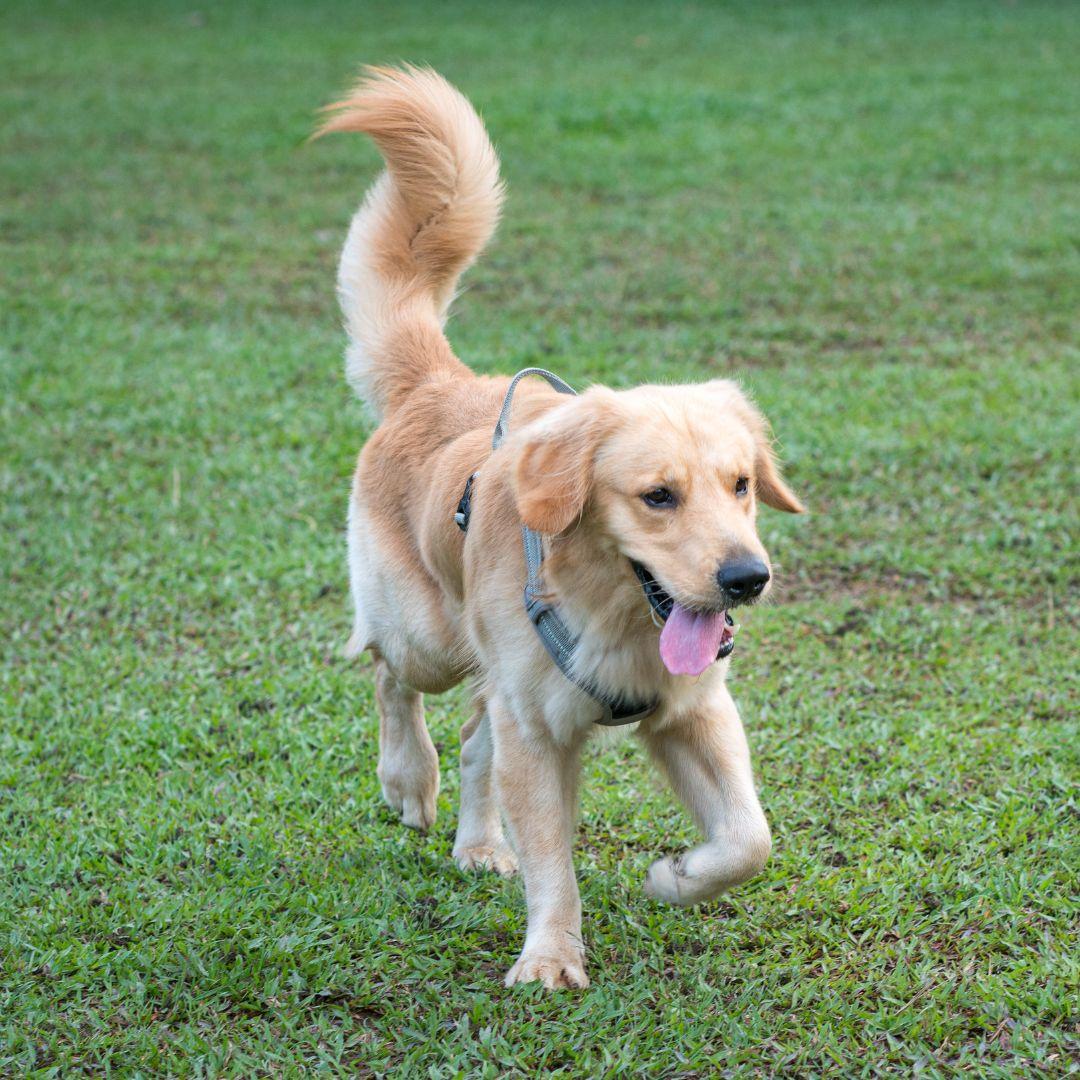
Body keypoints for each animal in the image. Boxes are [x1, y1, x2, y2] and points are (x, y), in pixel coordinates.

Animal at [313, 65, 803, 989]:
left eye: (742, 486)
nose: (745, 580)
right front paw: (549, 957)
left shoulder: (693, 712)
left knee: (476, 737)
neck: (612, 610)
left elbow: (747, 841)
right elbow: (553, 860)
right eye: (658, 496)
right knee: (391, 676)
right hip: (429, 635)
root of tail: (438, 381)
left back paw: (475, 841)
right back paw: (408, 780)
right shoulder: (539, 731)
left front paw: (677, 876)